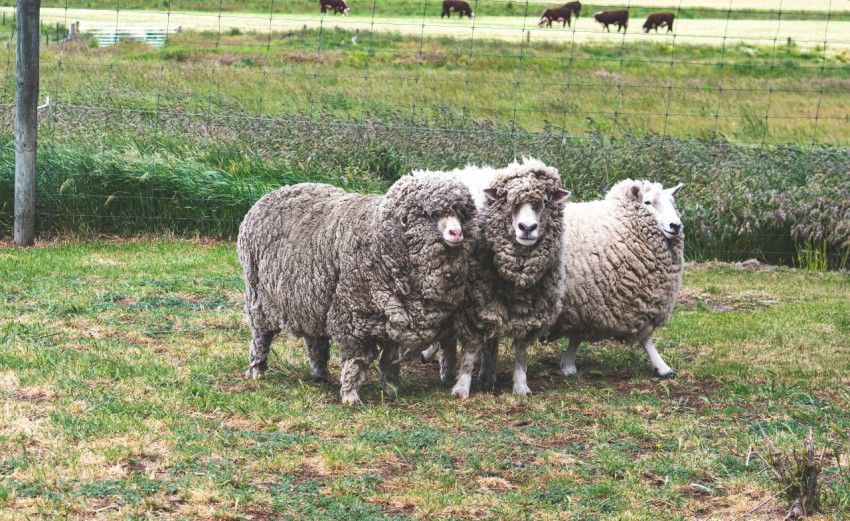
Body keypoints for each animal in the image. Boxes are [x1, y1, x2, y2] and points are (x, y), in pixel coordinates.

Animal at [235, 174, 480, 402]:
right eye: (432, 215)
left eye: (460, 213)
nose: (457, 233)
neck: (379, 240)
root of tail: (272, 194)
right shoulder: (351, 318)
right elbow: (355, 359)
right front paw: (350, 395)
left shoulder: (394, 322)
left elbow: (389, 360)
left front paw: (391, 390)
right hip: (259, 298)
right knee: (261, 336)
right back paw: (257, 370)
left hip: (314, 300)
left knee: (316, 341)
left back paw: (321, 375)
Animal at [412, 158, 568, 398]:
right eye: (509, 201)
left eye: (543, 202)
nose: (527, 228)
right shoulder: (471, 306)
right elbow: (470, 351)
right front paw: (461, 388)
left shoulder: (528, 310)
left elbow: (521, 353)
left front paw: (521, 386)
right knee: (450, 337)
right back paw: (446, 367)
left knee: (491, 338)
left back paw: (487, 372)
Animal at [548, 179, 684, 378]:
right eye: (647, 202)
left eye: (673, 203)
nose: (675, 226)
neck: (617, 223)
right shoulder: (587, 299)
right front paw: (568, 365)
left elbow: (645, 339)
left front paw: (662, 367)